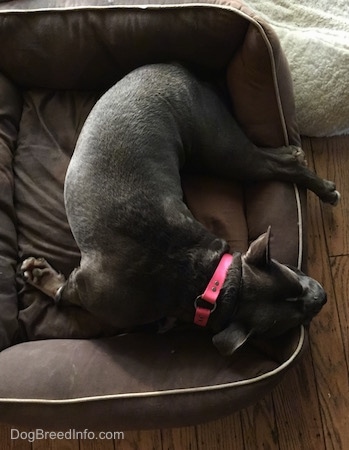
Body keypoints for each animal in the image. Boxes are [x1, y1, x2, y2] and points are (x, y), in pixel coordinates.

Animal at [21, 62, 338, 356]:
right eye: (292, 275)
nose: (322, 296)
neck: (208, 283)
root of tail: (176, 68)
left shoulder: (84, 289)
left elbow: (60, 293)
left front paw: (39, 274)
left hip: (218, 150)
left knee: (272, 165)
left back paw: (323, 188)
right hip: (220, 150)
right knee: (272, 161)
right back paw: (295, 155)